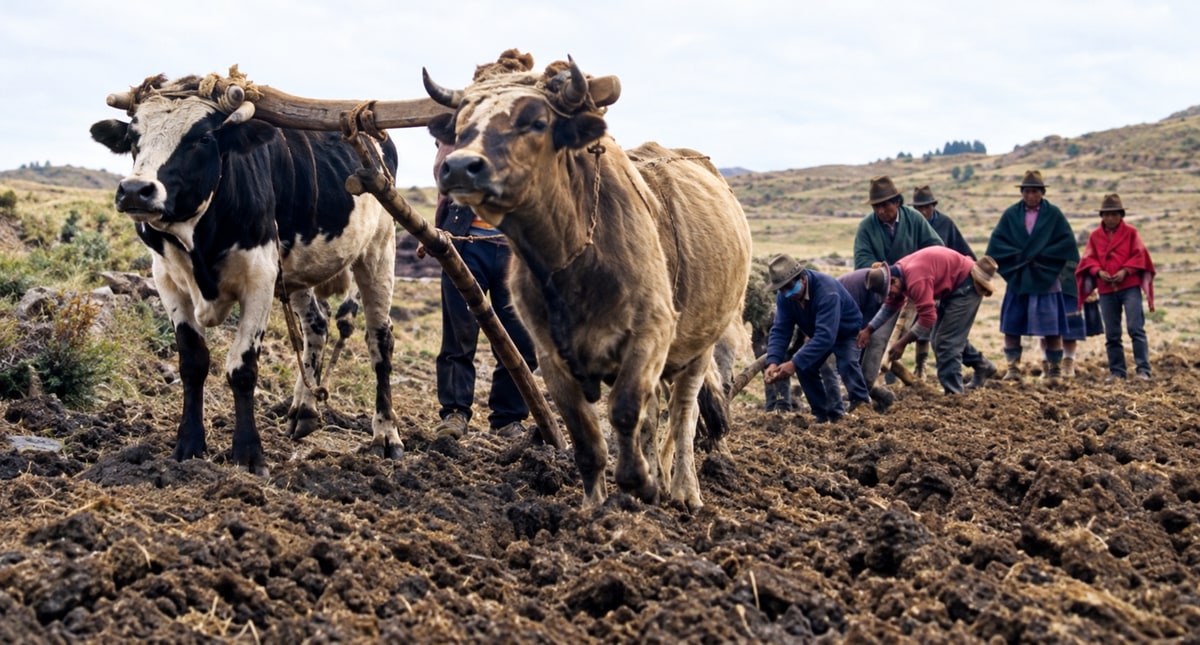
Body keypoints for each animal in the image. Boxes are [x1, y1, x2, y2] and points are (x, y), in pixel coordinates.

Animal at [90, 74, 404, 474]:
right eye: (133, 137)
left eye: (203, 138)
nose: (135, 191)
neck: (198, 237)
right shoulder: (167, 280)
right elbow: (192, 362)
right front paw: (189, 445)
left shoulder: (259, 280)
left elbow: (242, 368)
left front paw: (249, 453)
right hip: (295, 271)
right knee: (316, 327)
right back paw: (304, 410)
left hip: (379, 250)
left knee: (380, 341)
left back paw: (386, 435)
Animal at [423, 52, 752, 510]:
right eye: (460, 127)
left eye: (536, 121)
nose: (459, 167)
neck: (571, 259)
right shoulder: (550, 356)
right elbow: (587, 439)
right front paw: (596, 508)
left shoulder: (650, 334)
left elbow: (626, 410)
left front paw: (637, 483)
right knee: (657, 415)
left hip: (702, 346)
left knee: (683, 416)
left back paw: (684, 491)